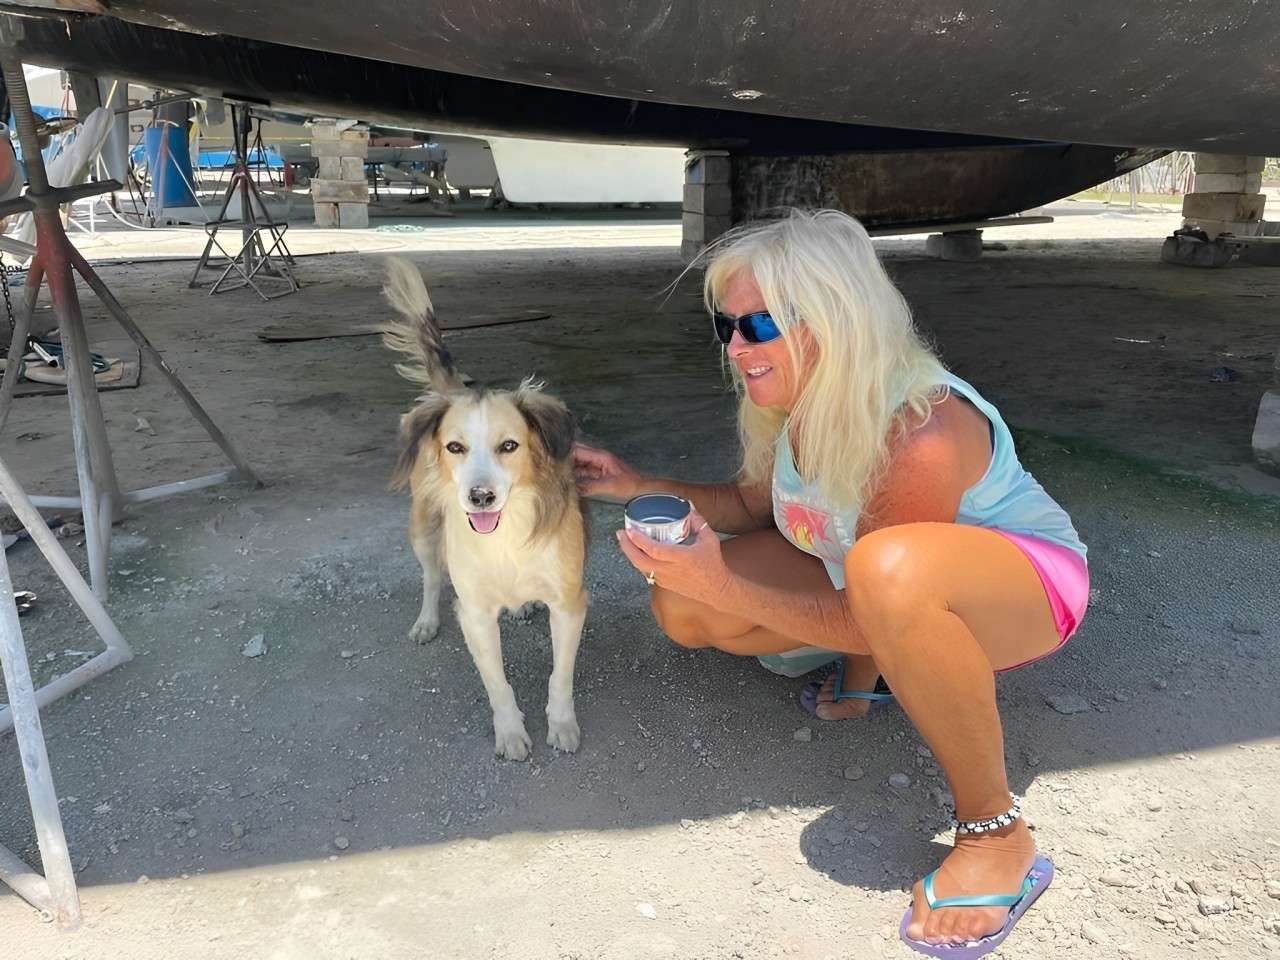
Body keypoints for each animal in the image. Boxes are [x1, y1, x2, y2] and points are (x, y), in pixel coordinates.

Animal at [378, 259, 588, 762]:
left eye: (509, 446)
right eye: (456, 447)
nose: (480, 497)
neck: (505, 538)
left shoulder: (569, 604)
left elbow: (560, 676)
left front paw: (562, 724)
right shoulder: (473, 613)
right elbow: (497, 685)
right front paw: (510, 732)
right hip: (422, 529)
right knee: (431, 577)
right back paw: (427, 620)